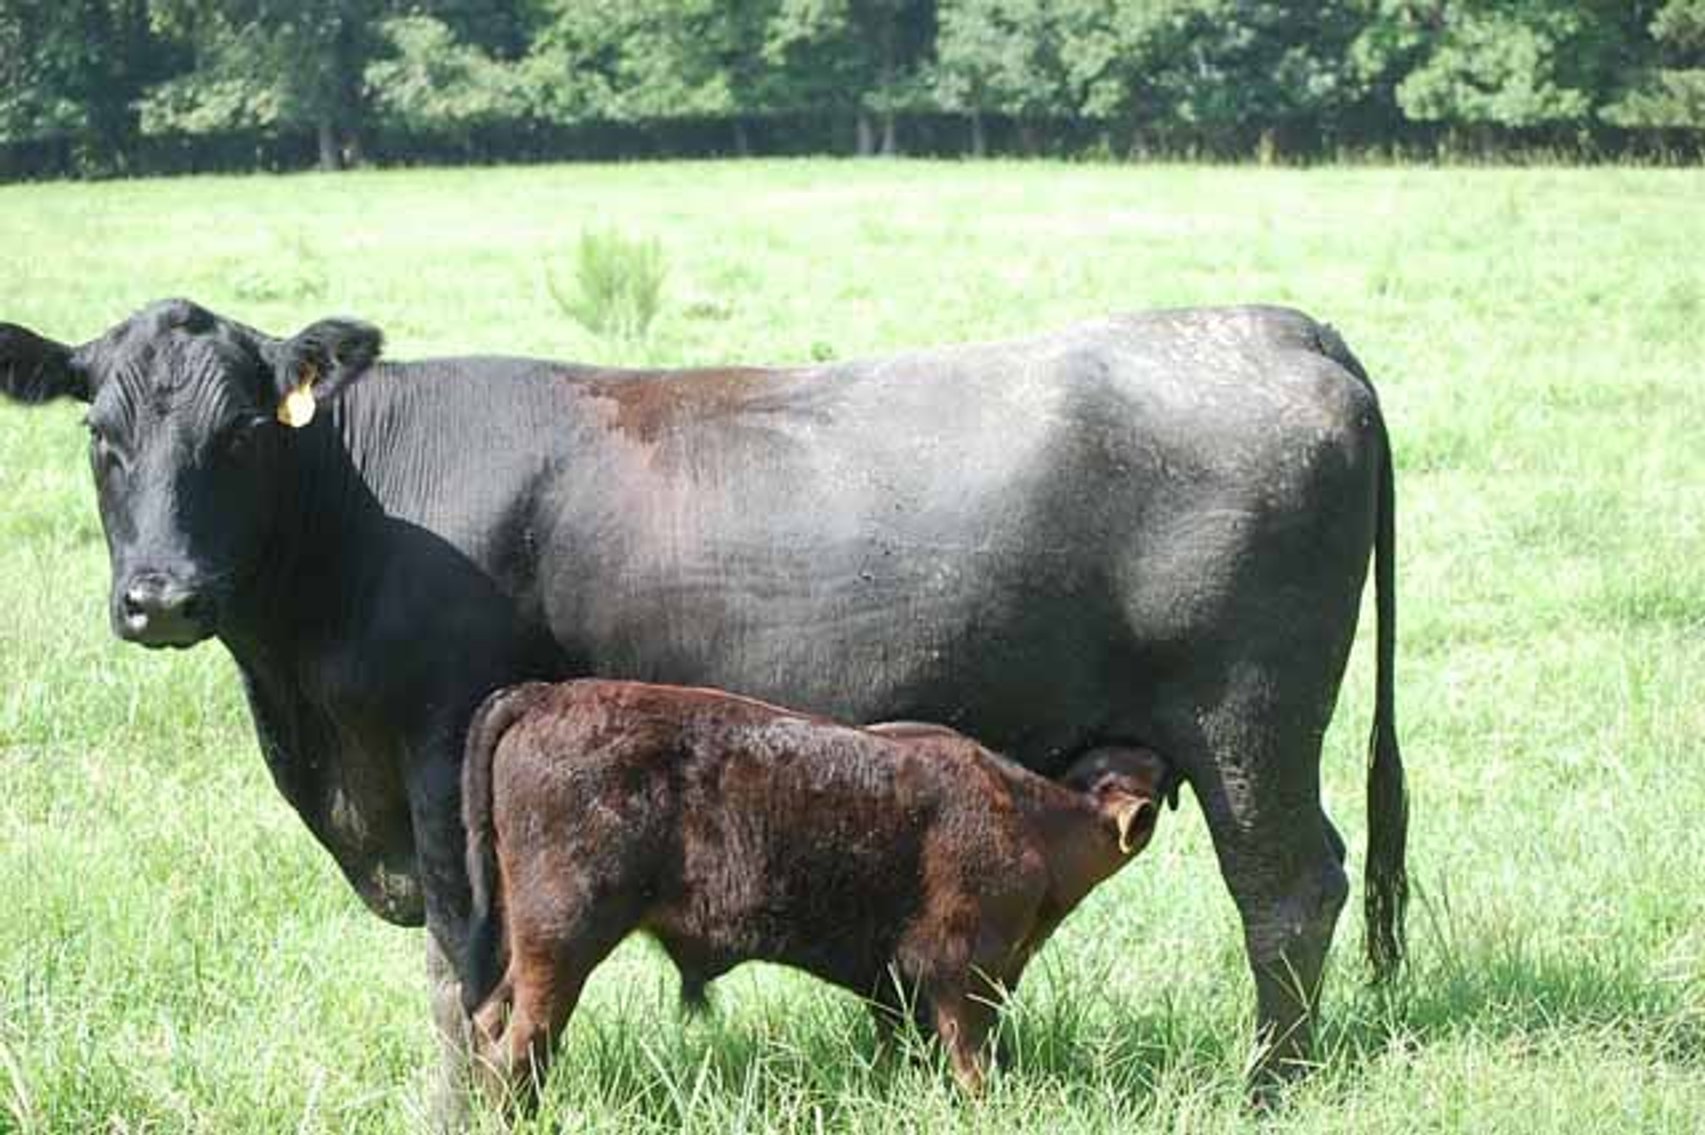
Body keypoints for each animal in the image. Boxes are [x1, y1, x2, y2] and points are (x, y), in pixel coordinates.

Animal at [457, 678, 1174, 1104]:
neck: (1032, 820)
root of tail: (544, 696)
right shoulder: (960, 970)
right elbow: (969, 1054)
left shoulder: (897, 982)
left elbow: (903, 1045)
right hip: (563, 944)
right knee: (517, 1047)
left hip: (532, 949)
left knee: (490, 1023)